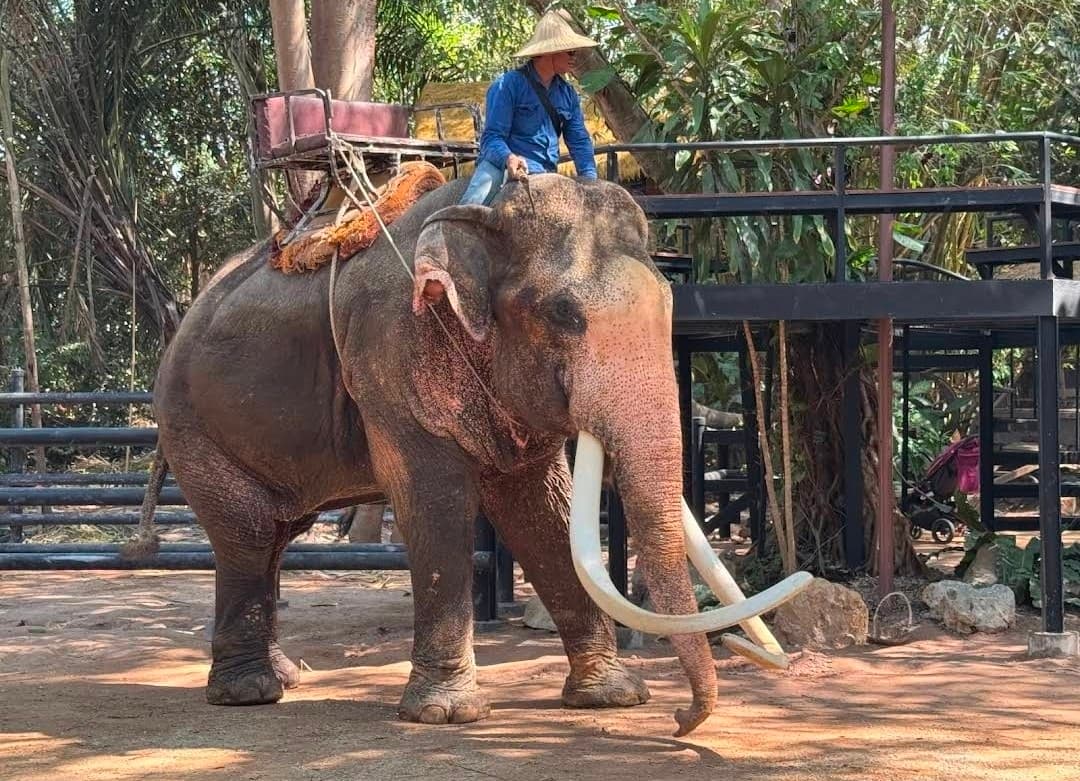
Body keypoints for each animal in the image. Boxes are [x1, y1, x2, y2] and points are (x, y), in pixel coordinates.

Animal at [132, 173, 803, 736]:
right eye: (564, 315)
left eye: (670, 306)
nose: (682, 721)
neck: (486, 211)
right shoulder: (391, 355)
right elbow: (436, 502)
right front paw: (445, 714)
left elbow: (542, 510)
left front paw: (611, 697)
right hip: (192, 425)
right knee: (247, 536)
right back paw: (250, 693)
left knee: (274, 536)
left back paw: (288, 676)